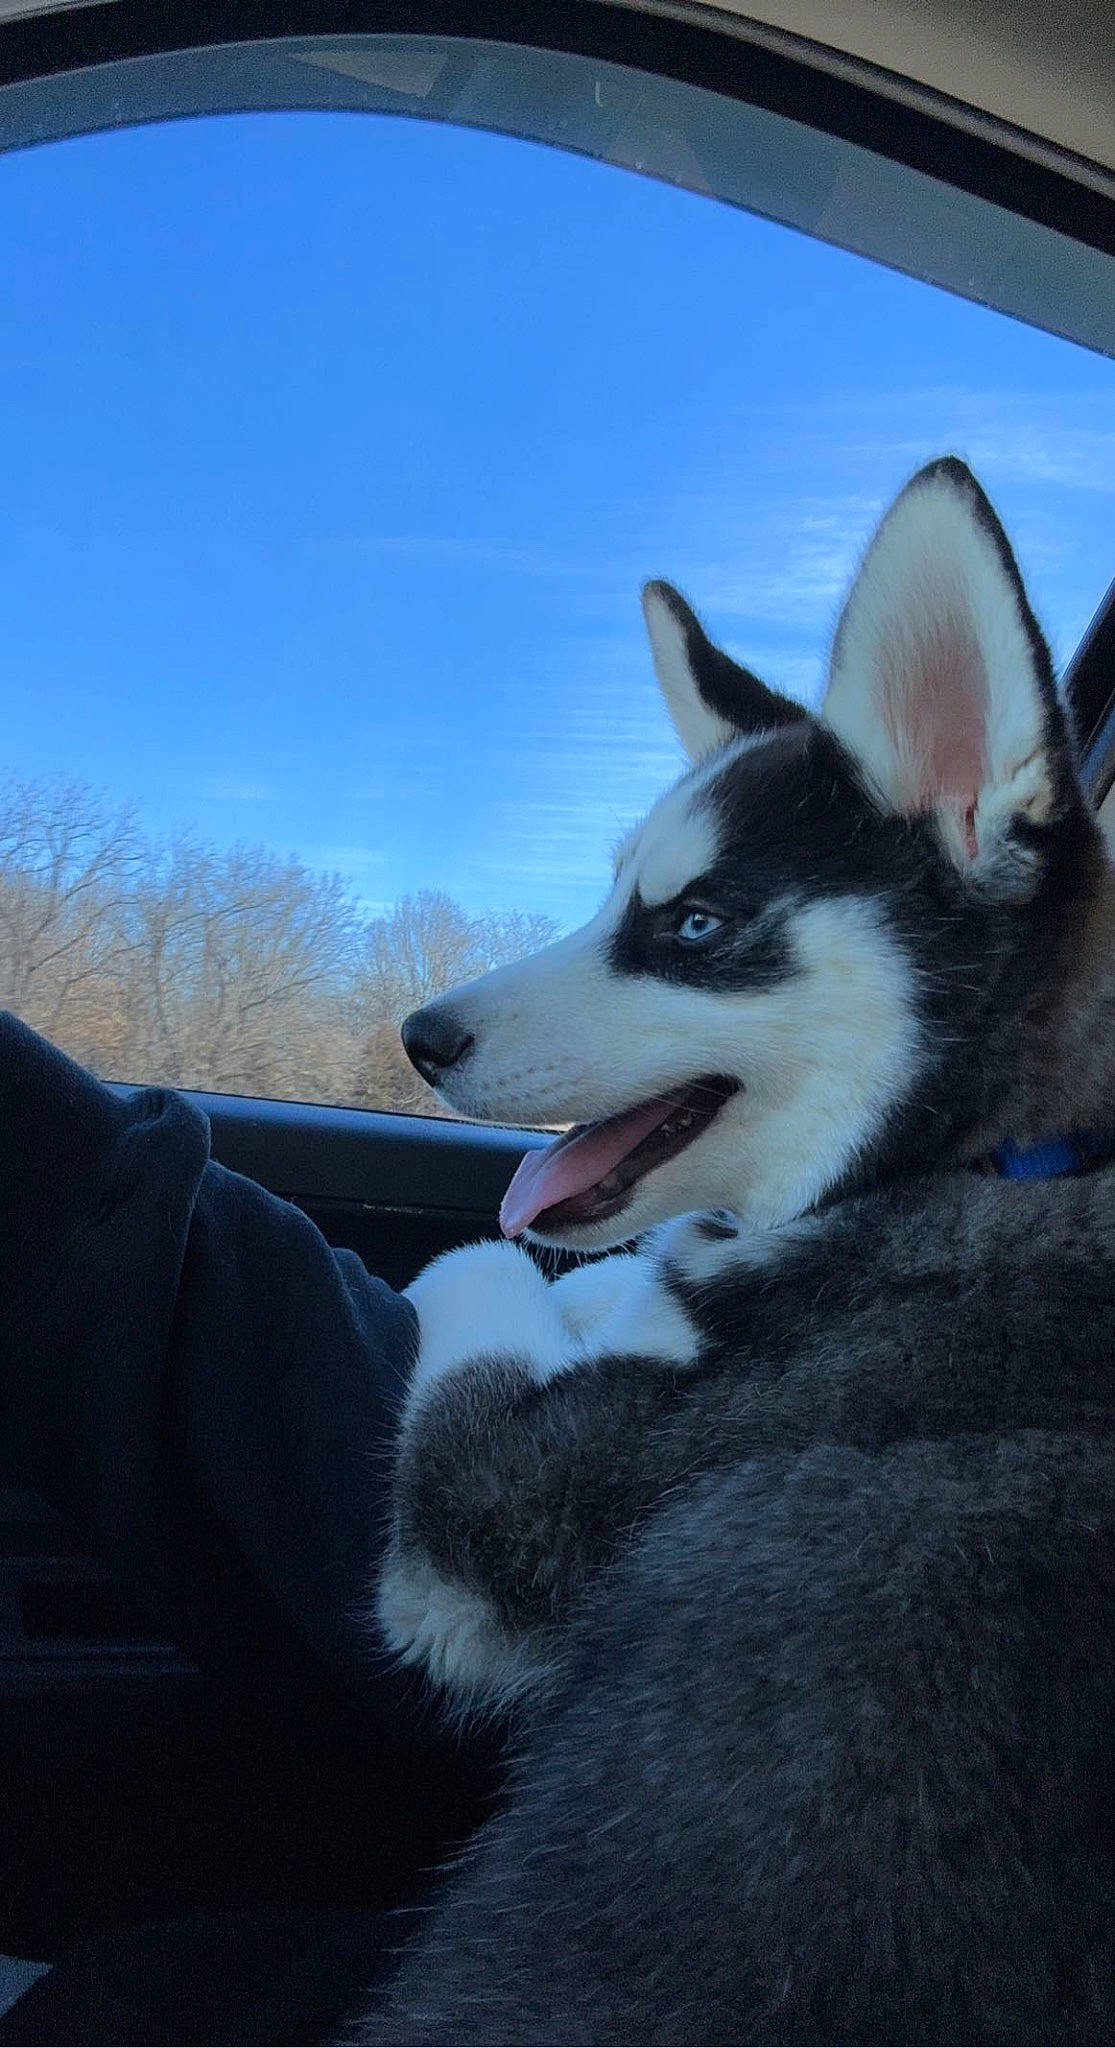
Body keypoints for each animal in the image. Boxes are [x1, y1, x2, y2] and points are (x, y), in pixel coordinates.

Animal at [359, 458, 1115, 2044]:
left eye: (695, 923)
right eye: (613, 896)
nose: (418, 1035)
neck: (992, 1154)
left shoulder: (498, 1514)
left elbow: (481, 1275)